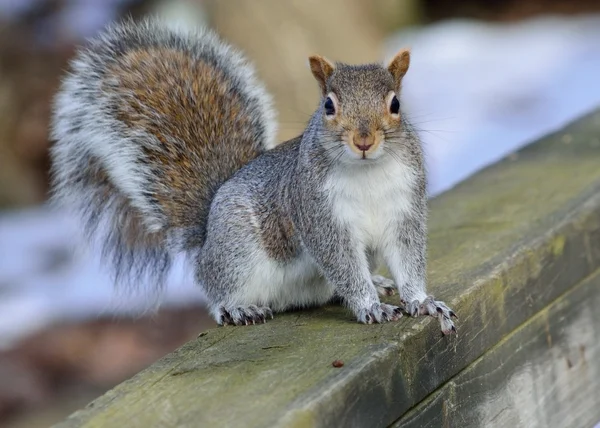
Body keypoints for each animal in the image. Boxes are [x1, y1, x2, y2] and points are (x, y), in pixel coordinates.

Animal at [51, 19, 458, 334]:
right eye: (328, 105)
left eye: (396, 104)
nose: (363, 140)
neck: (367, 170)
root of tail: (207, 235)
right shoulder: (318, 215)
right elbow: (342, 263)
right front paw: (369, 306)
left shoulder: (404, 209)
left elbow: (408, 258)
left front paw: (422, 301)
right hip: (236, 252)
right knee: (215, 289)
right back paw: (237, 308)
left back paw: (375, 280)